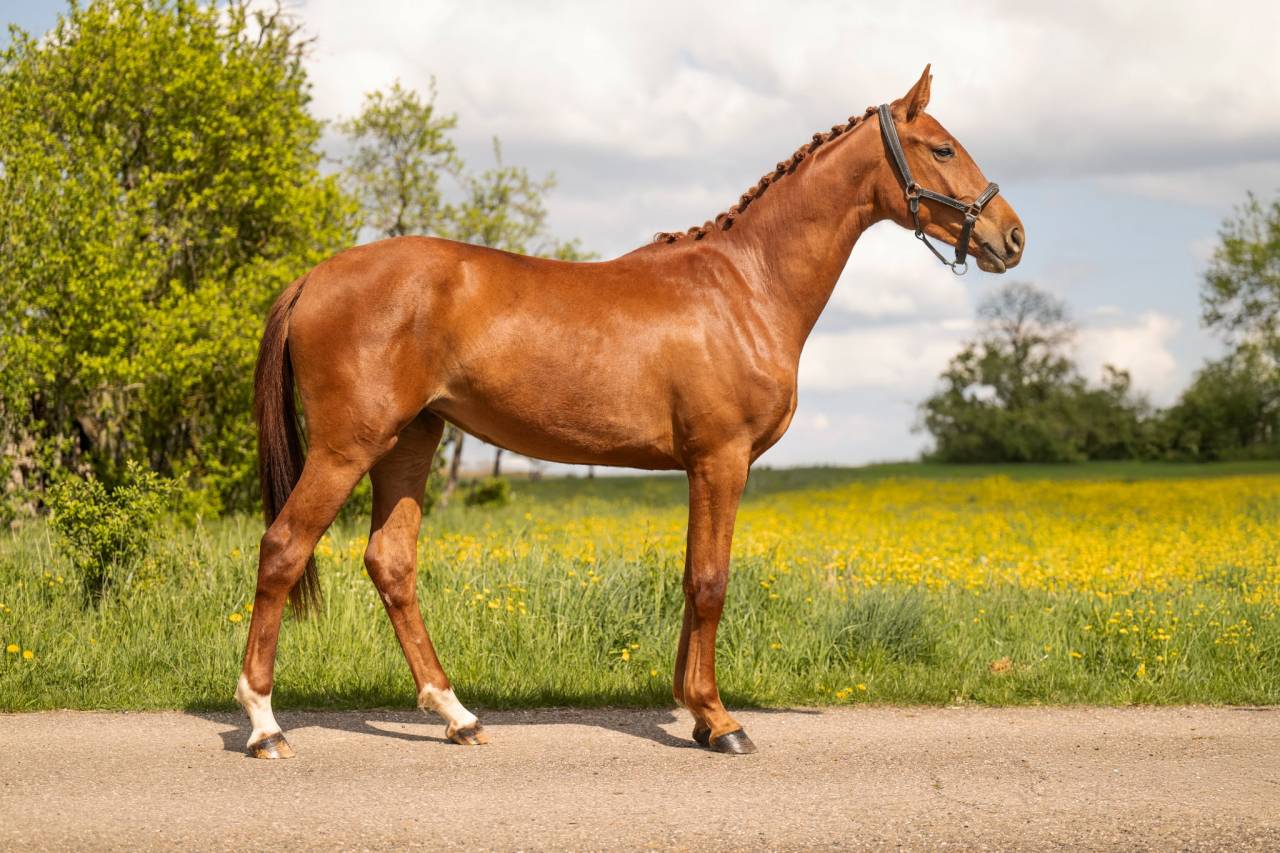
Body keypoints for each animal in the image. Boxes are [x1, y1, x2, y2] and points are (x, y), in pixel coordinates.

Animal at [235, 66, 1024, 758]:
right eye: (943, 147)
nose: (1011, 237)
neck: (746, 285)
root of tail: (314, 277)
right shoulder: (721, 460)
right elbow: (711, 582)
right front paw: (721, 721)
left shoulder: (699, 467)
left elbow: (692, 578)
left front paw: (697, 712)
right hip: (347, 447)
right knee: (283, 549)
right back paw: (264, 724)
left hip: (410, 441)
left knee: (391, 564)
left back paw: (458, 716)